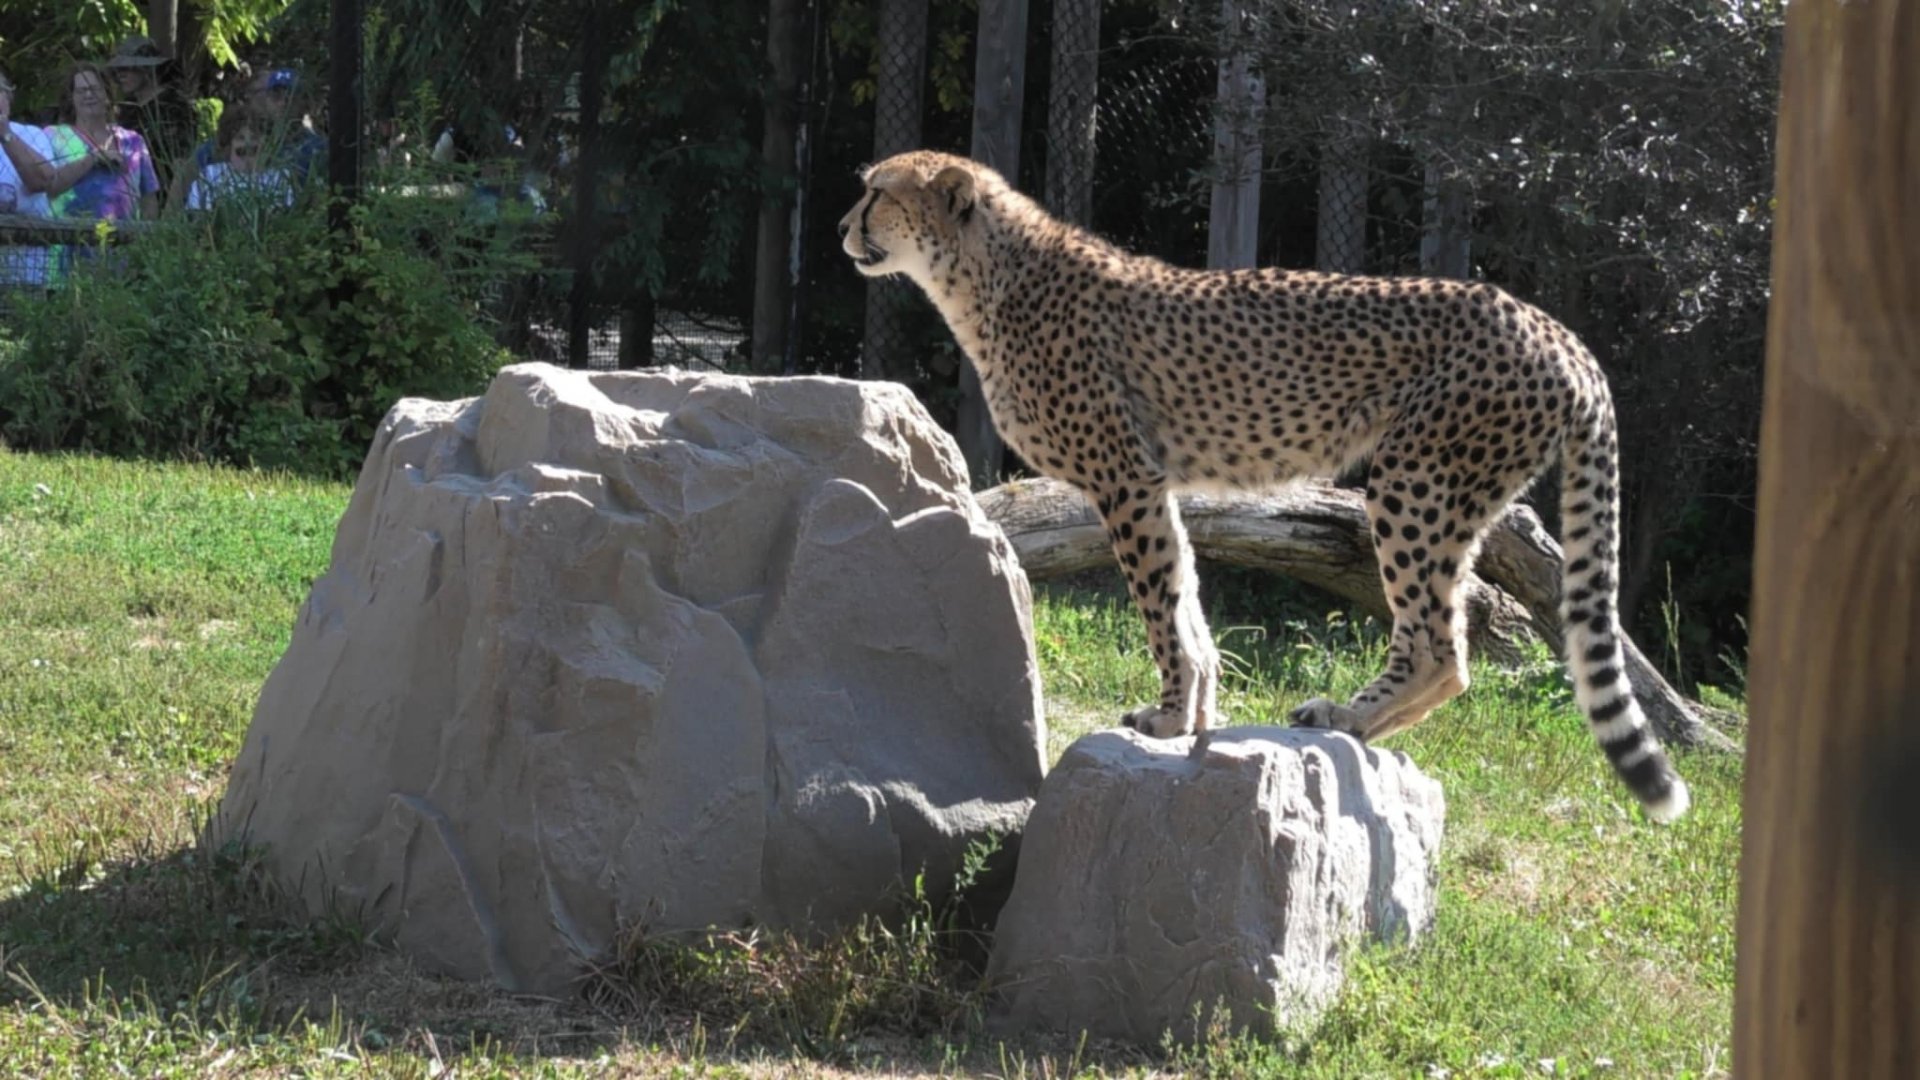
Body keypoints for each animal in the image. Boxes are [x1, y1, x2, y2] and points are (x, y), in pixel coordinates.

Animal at [837, 149, 1688, 822]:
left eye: (878, 190)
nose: (843, 227)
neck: (983, 276)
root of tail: (1555, 329)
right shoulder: (1154, 482)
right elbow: (1184, 597)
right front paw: (1196, 711)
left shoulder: (1123, 476)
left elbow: (1158, 607)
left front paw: (1171, 716)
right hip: (1456, 497)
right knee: (1445, 639)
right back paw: (1357, 727)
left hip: (1414, 479)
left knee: (1437, 644)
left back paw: (1343, 713)